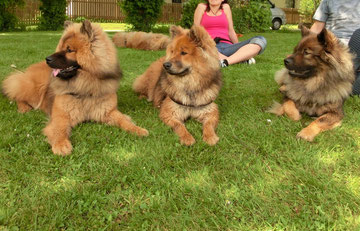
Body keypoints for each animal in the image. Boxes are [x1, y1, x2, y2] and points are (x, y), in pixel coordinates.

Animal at [2, 20, 148, 156]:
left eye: (69, 50)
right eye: (60, 48)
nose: (47, 59)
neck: (84, 86)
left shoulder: (109, 111)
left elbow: (124, 120)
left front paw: (137, 129)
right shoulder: (61, 115)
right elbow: (59, 130)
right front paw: (61, 144)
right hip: (35, 89)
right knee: (16, 94)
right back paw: (23, 108)